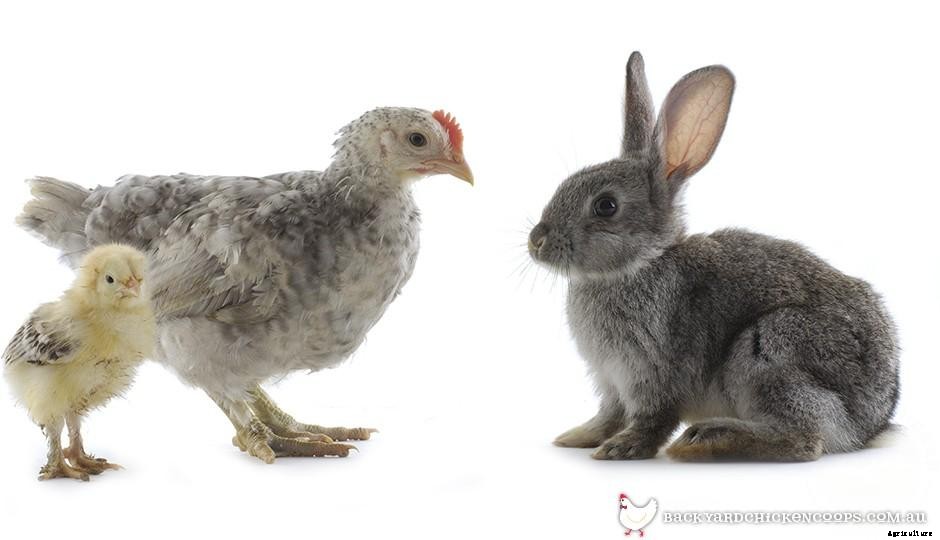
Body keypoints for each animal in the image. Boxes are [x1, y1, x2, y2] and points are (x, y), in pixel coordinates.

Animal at [528, 52, 900, 462]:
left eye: (606, 206)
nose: (536, 241)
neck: (640, 264)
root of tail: (868, 426)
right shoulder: (611, 382)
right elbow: (609, 414)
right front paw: (578, 436)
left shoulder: (652, 371)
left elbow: (652, 419)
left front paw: (620, 449)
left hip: (771, 348)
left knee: (805, 442)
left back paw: (707, 439)